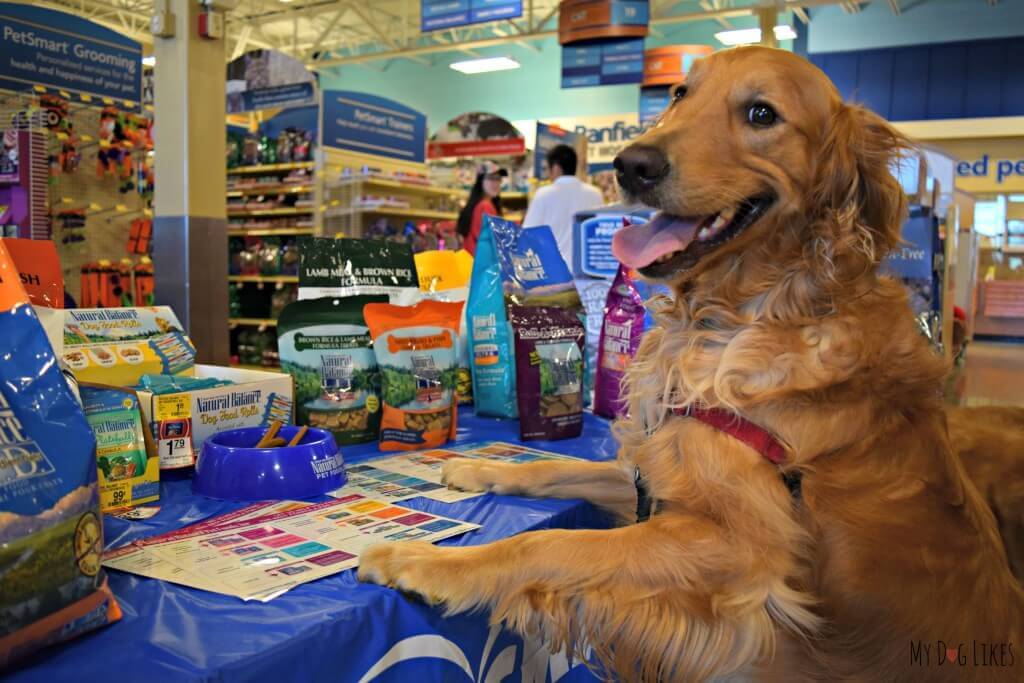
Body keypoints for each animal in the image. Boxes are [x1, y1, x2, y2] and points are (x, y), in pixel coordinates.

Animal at [356, 45, 1019, 679]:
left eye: (761, 114)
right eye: (679, 94)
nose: (631, 165)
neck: (742, 315)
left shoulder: (734, 551)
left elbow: (546, 547)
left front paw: (422, 559)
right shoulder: (658, 476)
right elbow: (554, 468)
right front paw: (481, 468)